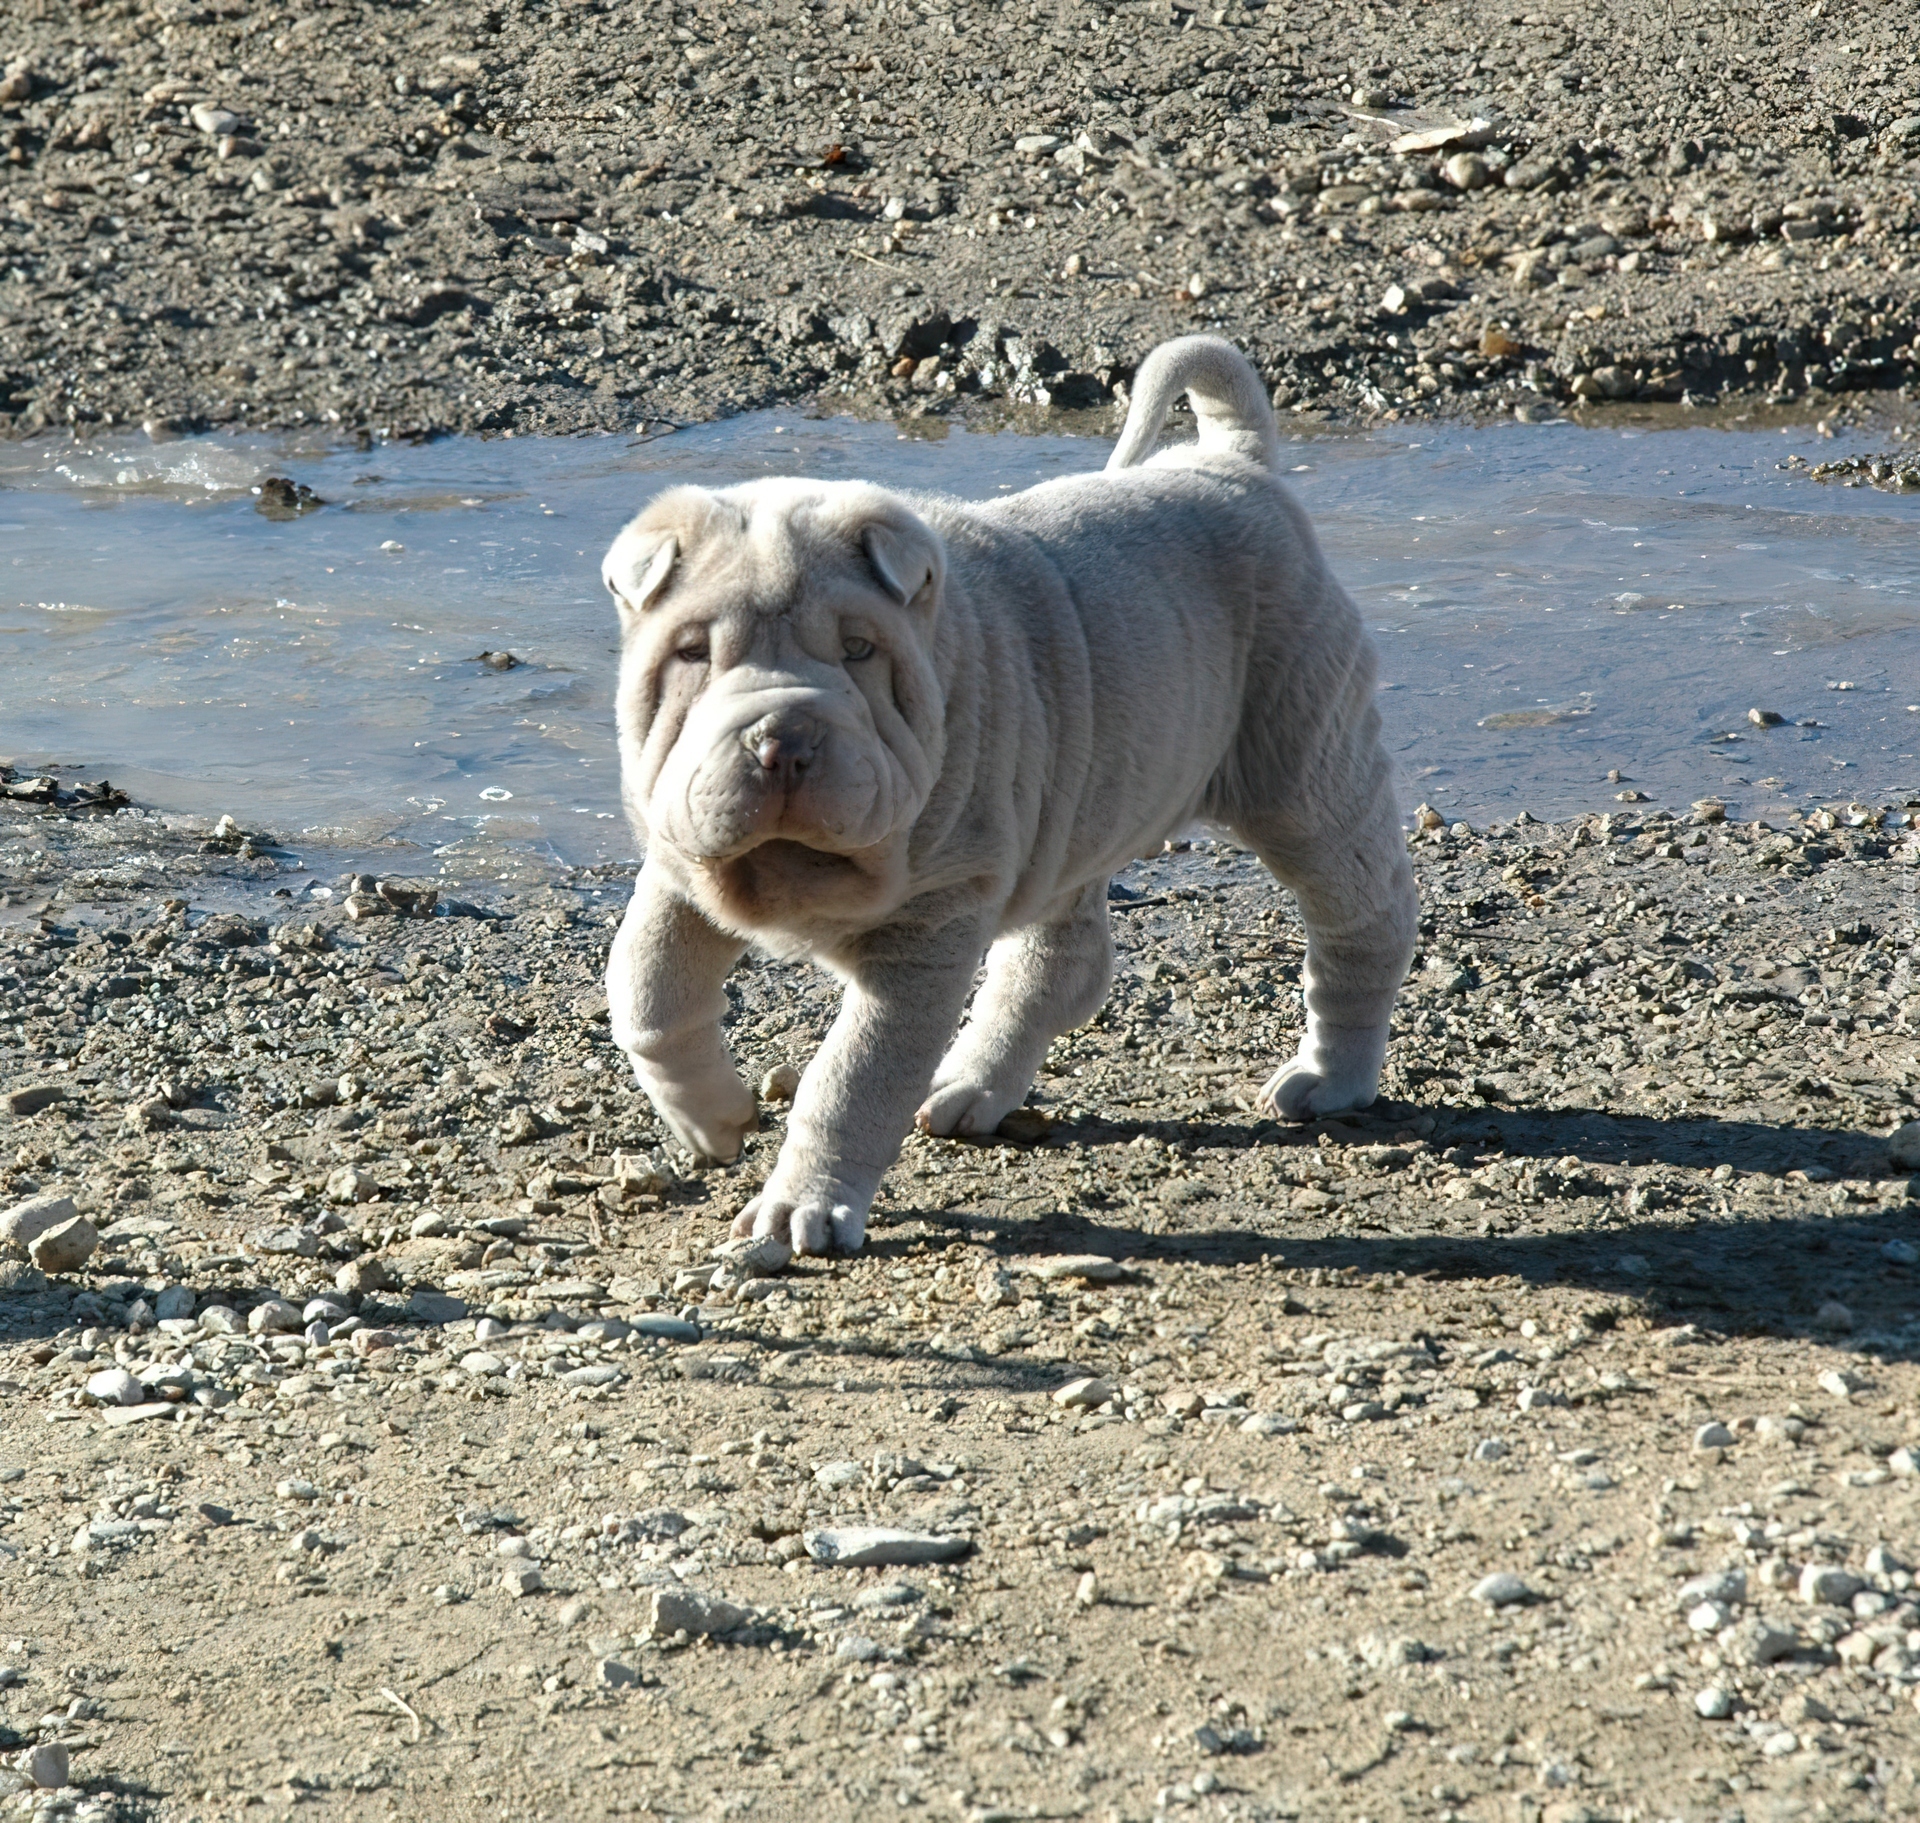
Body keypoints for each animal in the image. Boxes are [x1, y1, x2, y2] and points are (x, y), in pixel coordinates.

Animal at [606, 338, 1420, 1252]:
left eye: (859, 649)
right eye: (692, 652)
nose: (783, 739)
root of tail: (1230, 462)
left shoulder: (926, 931)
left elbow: (852, 1075)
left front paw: (797, 1209)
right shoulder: (681, 854)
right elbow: (644, 986)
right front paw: (712, 1121)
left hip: (1305, 761)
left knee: (1362, 916)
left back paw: (1328, 1077)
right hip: (1071, 812)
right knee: (1060, 958)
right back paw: (970, 1088)